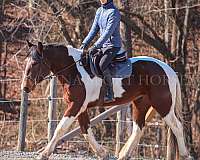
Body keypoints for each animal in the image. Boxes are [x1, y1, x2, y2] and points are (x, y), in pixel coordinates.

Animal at [21, 41, 191, 160]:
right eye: (26, 61)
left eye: (35, 63)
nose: (25, 87)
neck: (74, 70)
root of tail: (168, 69)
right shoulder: (81, 107)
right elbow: (86, 130)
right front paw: (103, 153)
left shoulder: (75, 105)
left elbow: (60, 129)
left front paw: (44, 153)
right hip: (141, 103)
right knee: (139, 127)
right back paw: (124, 155)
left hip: (163, 105)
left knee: (177, 126)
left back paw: (185, 155)